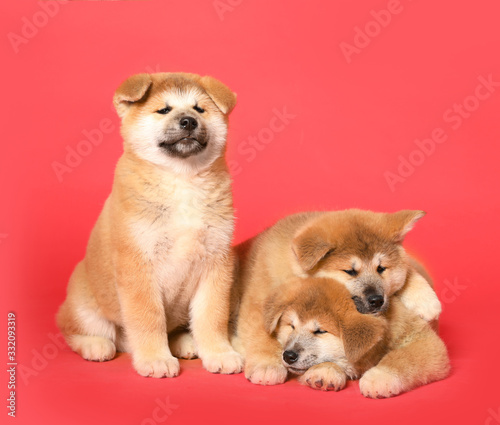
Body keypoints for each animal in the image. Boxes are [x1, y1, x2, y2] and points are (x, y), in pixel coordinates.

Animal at [57, 72, 243, 378]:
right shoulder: (138, 264)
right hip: (84, 304)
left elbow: (212, 316)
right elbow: (149, 318)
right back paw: (95, 345)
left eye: (199, 109)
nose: (188, 121)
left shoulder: (216, 262)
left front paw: (219, 353)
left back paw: (184, 342)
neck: (181, 179)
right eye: (164, 110)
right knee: (74, 329)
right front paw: (155, 359)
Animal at [264, 276, 452, 396]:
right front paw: (325, 371)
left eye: (320, 331)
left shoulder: (423, 340)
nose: (288, 355)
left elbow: (403, 358)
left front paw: (380, 376)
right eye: (292, 326)